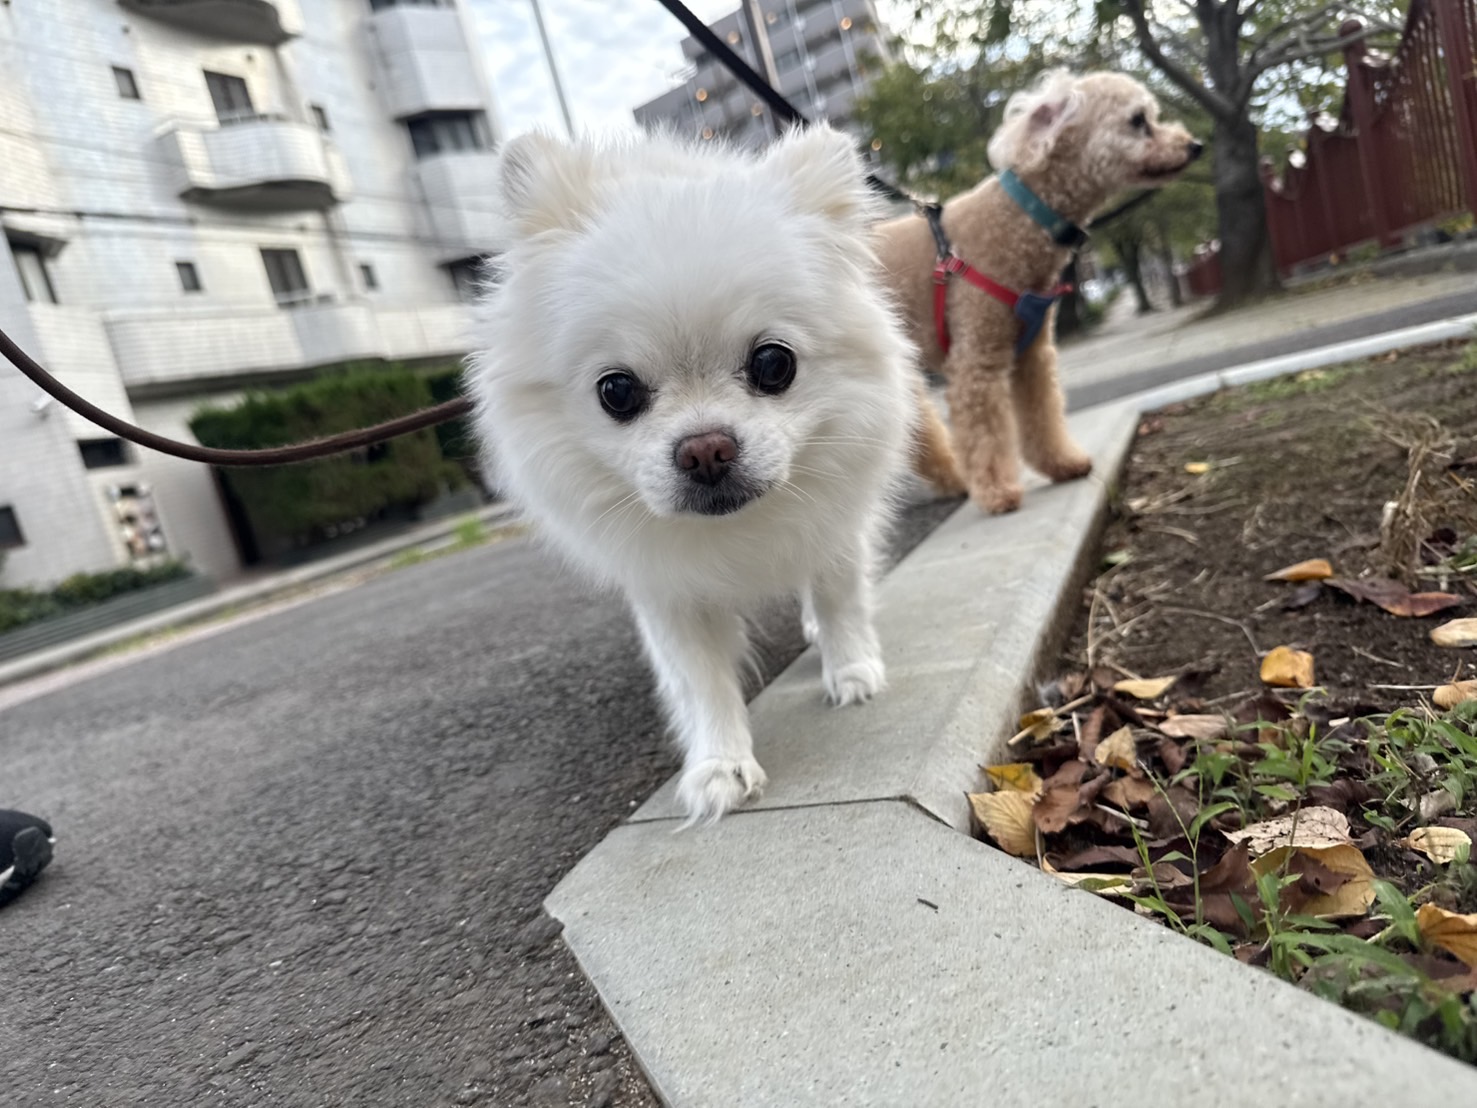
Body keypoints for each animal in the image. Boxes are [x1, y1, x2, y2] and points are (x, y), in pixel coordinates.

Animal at [466, 127, 915, 827]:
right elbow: (700, 680)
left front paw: (852, 670)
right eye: (617, 392)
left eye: (774, 364)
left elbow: (839, 597)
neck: (741, 530)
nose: (706, 450)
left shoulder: (835, 528)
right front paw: (719, 767)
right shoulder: (667, 586)